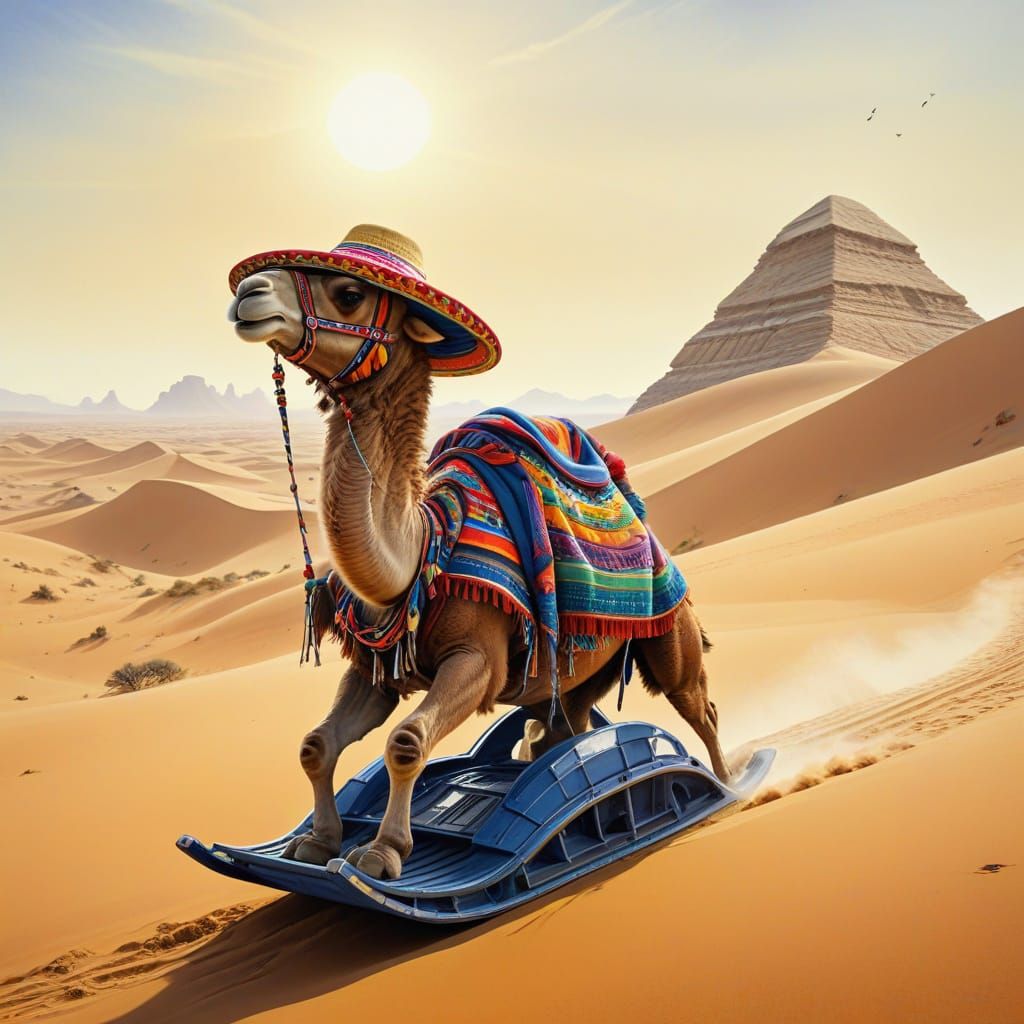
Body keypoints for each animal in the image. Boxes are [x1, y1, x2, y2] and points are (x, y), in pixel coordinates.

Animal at [228, 229, 730, 881]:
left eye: (348, 294)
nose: (248, 292)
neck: (423, 552)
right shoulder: (375, 671)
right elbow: (317, 744)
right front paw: (317, 842)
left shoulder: (478, 658)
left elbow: (406, 742)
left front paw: (382, 854)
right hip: (571, 674)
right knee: (559, 731)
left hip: (671, 635)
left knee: (698, 705)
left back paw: (728, 787)